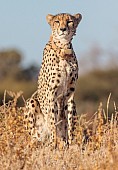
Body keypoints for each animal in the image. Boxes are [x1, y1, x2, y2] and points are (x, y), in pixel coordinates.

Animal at [24, 12, 82, 147]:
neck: (64, 48)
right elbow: (52, 121)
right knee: (32, 137)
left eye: (69, 21)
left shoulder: (70, 93)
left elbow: (70, 123)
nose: (63, 29)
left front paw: (71, 145)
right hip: (32, 102)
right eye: (57, 21)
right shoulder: (51, 93)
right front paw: (54, 144)